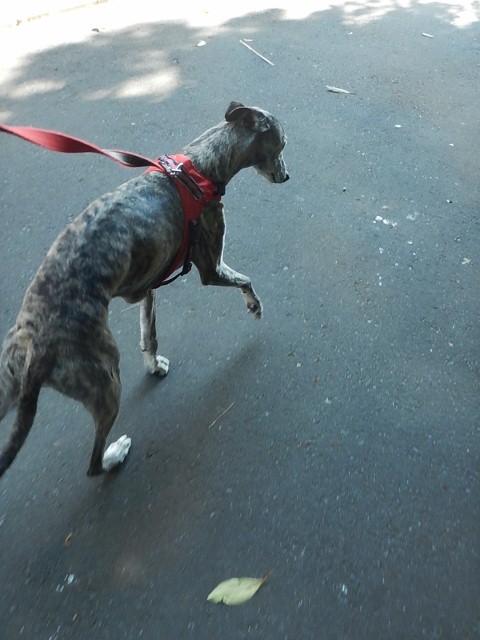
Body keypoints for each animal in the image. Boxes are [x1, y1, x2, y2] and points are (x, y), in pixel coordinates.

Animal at [0, 102, 289, 478]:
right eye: (282, 144)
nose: (287, 177)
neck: (197, 168)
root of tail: (35, 350)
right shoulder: (210, 267)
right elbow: (245, 279)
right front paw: (254, 306)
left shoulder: (149, 282)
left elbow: (149, 334)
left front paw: (154, 365)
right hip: (105, 378)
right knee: (93, 463)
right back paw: (115, 454)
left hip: (7, 385)